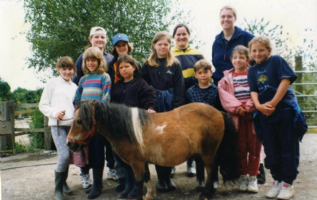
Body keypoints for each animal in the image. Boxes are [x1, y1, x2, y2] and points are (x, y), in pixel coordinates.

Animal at [66, 101, 237, 200]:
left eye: (79, 121)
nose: (69, 144)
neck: (128, 129)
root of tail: (219, 112)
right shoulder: (143, 161)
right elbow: (147, 176)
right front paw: (150, 194)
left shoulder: (136, 162)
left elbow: (139, 181)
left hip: (207, 153)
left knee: (212, 169)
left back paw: (206, 194)